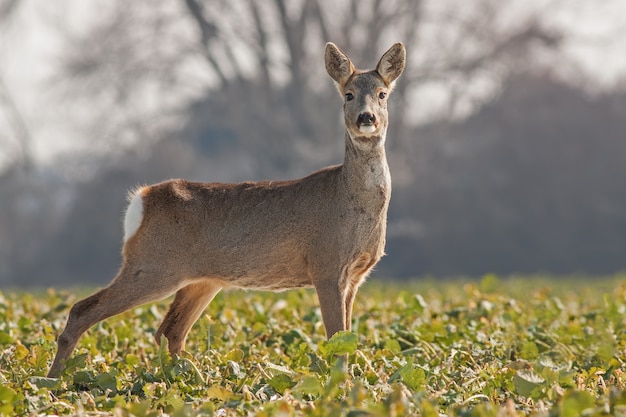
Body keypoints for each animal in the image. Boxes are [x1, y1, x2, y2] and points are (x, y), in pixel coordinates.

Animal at [50, 42, 410, 376]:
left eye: (382, 94)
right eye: (348, 95)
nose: (367, 118)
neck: (352, 201)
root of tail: (141, 199)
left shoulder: (355, 276)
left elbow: (348, 337)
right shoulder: (326, 265)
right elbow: (336, 338)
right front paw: (340, 385)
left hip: (200, 280)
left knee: (169, 331)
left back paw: (186, 379)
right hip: (152, 265)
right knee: (83, 309)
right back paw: (54, 381)